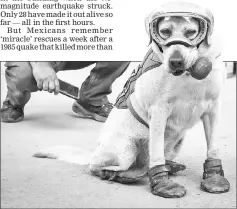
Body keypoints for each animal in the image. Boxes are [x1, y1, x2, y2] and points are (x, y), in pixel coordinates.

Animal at [33, 1, 230, 198]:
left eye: (191, 32)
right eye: (165, 31)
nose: (175, 62)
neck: (189, 75)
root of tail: (94, 152)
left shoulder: (213, 108)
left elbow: (213, 147)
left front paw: (214, 176)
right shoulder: (159, 110)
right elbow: (156, 155)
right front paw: (162, 183)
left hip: (177, 142)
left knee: (150, 163)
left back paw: (167, 167)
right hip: (126, 149)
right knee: (98, 167)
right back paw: (117, 174)